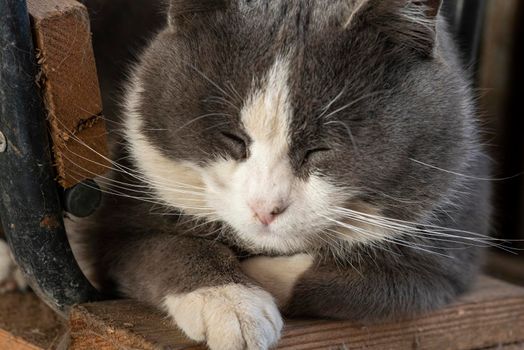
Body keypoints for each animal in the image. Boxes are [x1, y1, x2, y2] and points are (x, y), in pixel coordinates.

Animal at [69, 0, 492, 350]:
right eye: (233, 137)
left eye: (321, 149)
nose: (265, 208)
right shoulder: (121, 215)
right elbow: (162, 246)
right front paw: (232, 303)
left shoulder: (451, 246)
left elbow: (387, 283)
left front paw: (254, 277)